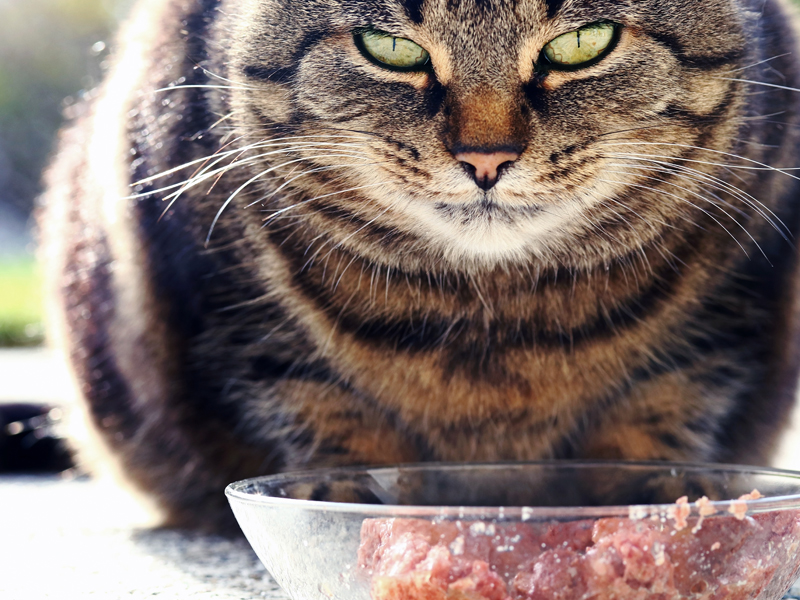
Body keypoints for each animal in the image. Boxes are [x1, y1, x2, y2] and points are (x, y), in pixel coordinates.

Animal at [40, 0, 800, 536]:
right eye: (390, 48)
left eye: (586, 43)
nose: (486, 157)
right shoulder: (225, 291)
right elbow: (319, 406)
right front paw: (340, 498)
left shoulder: (735, 289)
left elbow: (665, 402)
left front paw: (667, 506)